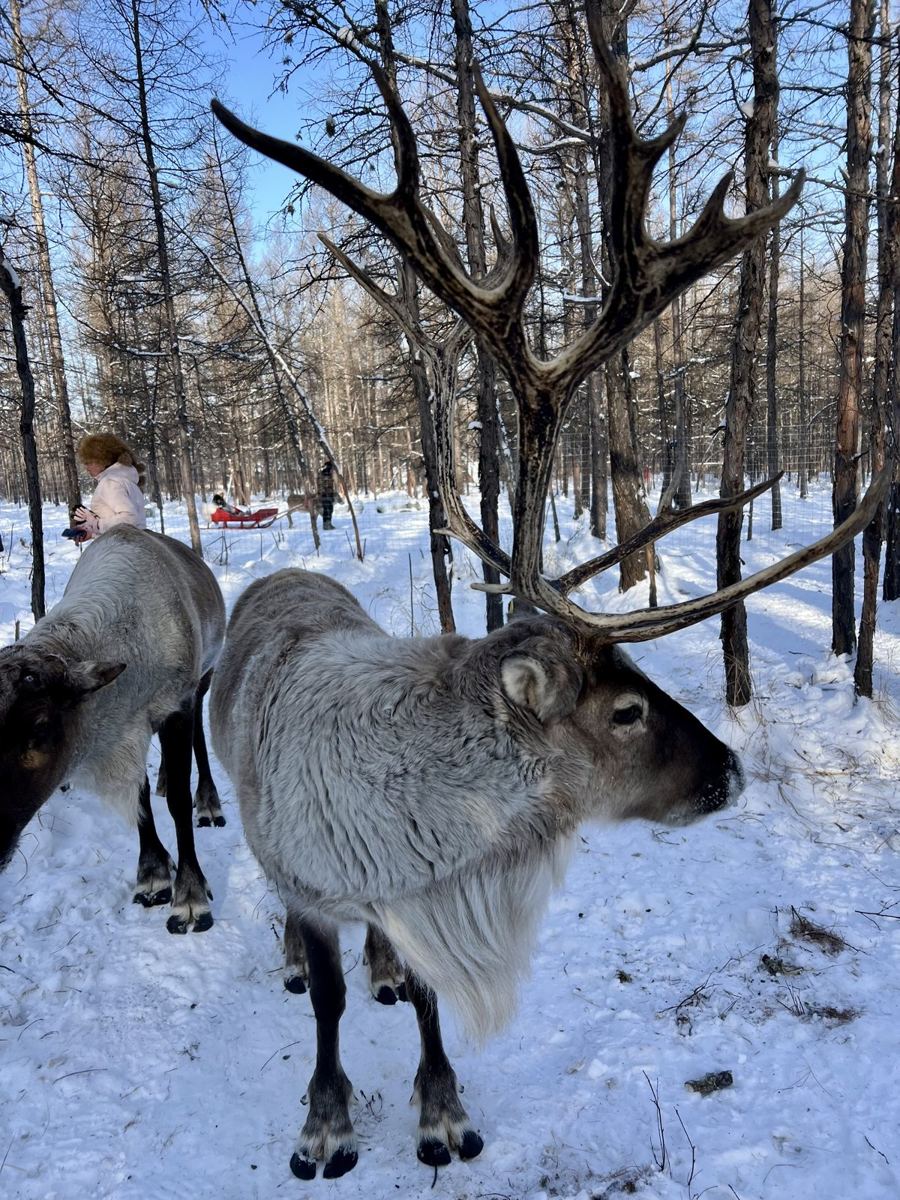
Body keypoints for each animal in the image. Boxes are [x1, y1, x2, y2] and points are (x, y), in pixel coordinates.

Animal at [0, 526, 225, 934]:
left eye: (39, 726)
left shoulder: (177, 706)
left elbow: (178, 801)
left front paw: (190, 897)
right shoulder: (122, 731)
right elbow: (140, 798)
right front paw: (153, 875)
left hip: (205, 675)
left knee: (200, 739)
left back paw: (209, 803)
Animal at [210, 2, 891, 1181]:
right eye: (623, 711)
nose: (731, 774)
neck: (443, 842)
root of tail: (289, 573)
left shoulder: (427, 903)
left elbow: (425, 1000)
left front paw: (441, 1110)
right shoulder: (314, 874)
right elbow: (329, 1009)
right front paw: (328, 1119)